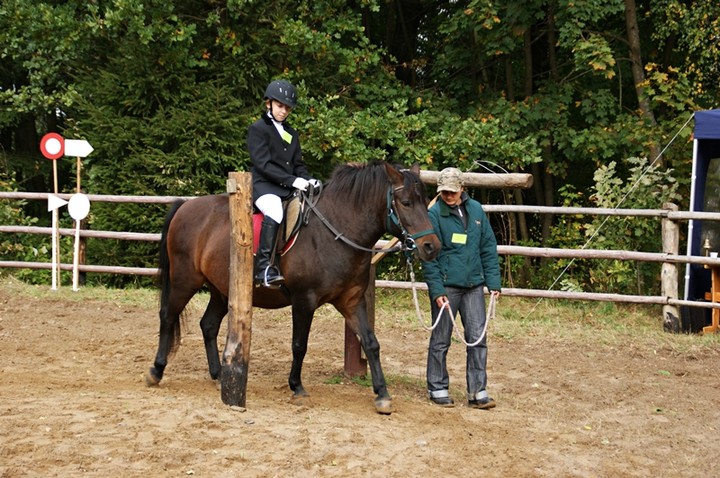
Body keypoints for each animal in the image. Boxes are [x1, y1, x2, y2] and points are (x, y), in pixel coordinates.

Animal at [145, 162, 438, 412]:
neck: (337, 230)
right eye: (406, 202)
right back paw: (156, 370)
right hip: (185, 281)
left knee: (208, 324)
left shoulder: (352, 301)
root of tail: (185, 206)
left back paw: (218, 374)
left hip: (222, 289)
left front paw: (382, 395)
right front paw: (296, 387)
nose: (431, 247)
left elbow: (371, 343)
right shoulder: (303, 300)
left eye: (425, 202)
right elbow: (299, 344)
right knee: (167, 316)